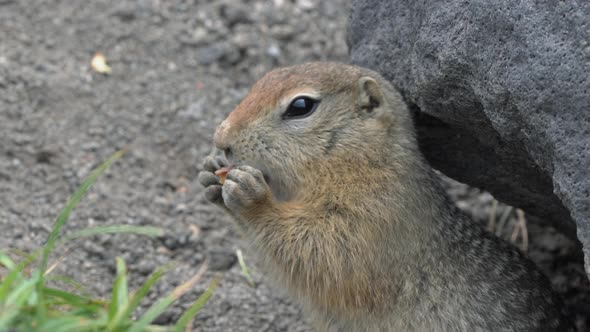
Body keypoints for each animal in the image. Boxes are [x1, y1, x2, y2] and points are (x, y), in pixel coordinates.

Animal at [198, 62, 572, 332]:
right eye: (262, 79)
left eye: (301, 105)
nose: (221, 138)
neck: (362, 161)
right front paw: (209, 174)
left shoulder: (377, 211)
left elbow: (323, 250)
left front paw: (252, 197)